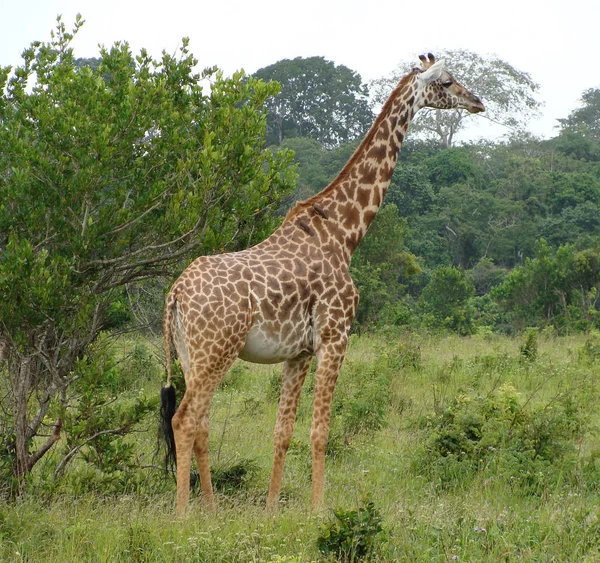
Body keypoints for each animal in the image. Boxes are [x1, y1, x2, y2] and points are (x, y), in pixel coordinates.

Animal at [161, 53, 482, 516]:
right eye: (447, 81)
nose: (478, 102)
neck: (344, 232)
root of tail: (174, 296)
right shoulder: (336, 336)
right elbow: (320, 431)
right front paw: (317, 512)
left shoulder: (298, 353)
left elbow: (282, 432)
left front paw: (271, 508)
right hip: (216, 351)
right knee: (185, 420)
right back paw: (185, 516)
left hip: (190, 356)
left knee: (200, 421)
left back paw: (212, 509)